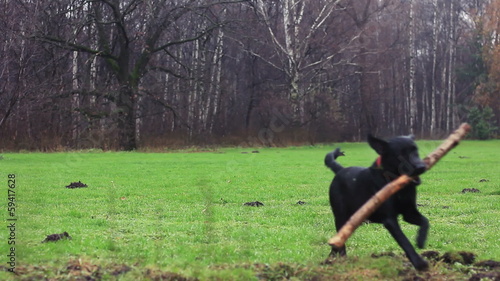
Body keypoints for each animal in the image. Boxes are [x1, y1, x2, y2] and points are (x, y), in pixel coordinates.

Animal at [326, 135, 428, 270]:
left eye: (415, 150)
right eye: (400, 154)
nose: (421, 167)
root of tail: (340, 170)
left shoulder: (409, 213)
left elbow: (425, 221)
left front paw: (420, 241)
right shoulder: (390, 220)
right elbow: (404, 241)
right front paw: (419, 263)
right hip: (341, 216)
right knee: (340, 237)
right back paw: (338, 257)